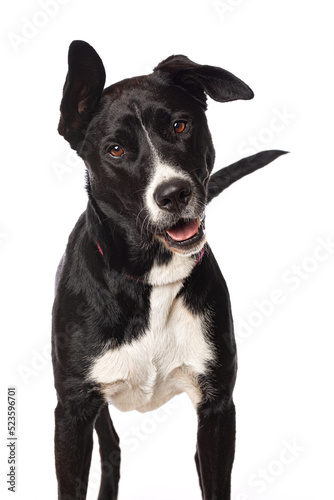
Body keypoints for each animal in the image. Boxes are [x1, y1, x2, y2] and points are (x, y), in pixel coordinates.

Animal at [52, 40, 288, 500]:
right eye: (116, 149)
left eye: (179, 125)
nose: (173, 193)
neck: (151, 279)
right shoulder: (71, 413)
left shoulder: (217, 408)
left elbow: (214, 480)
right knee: (112, 446)